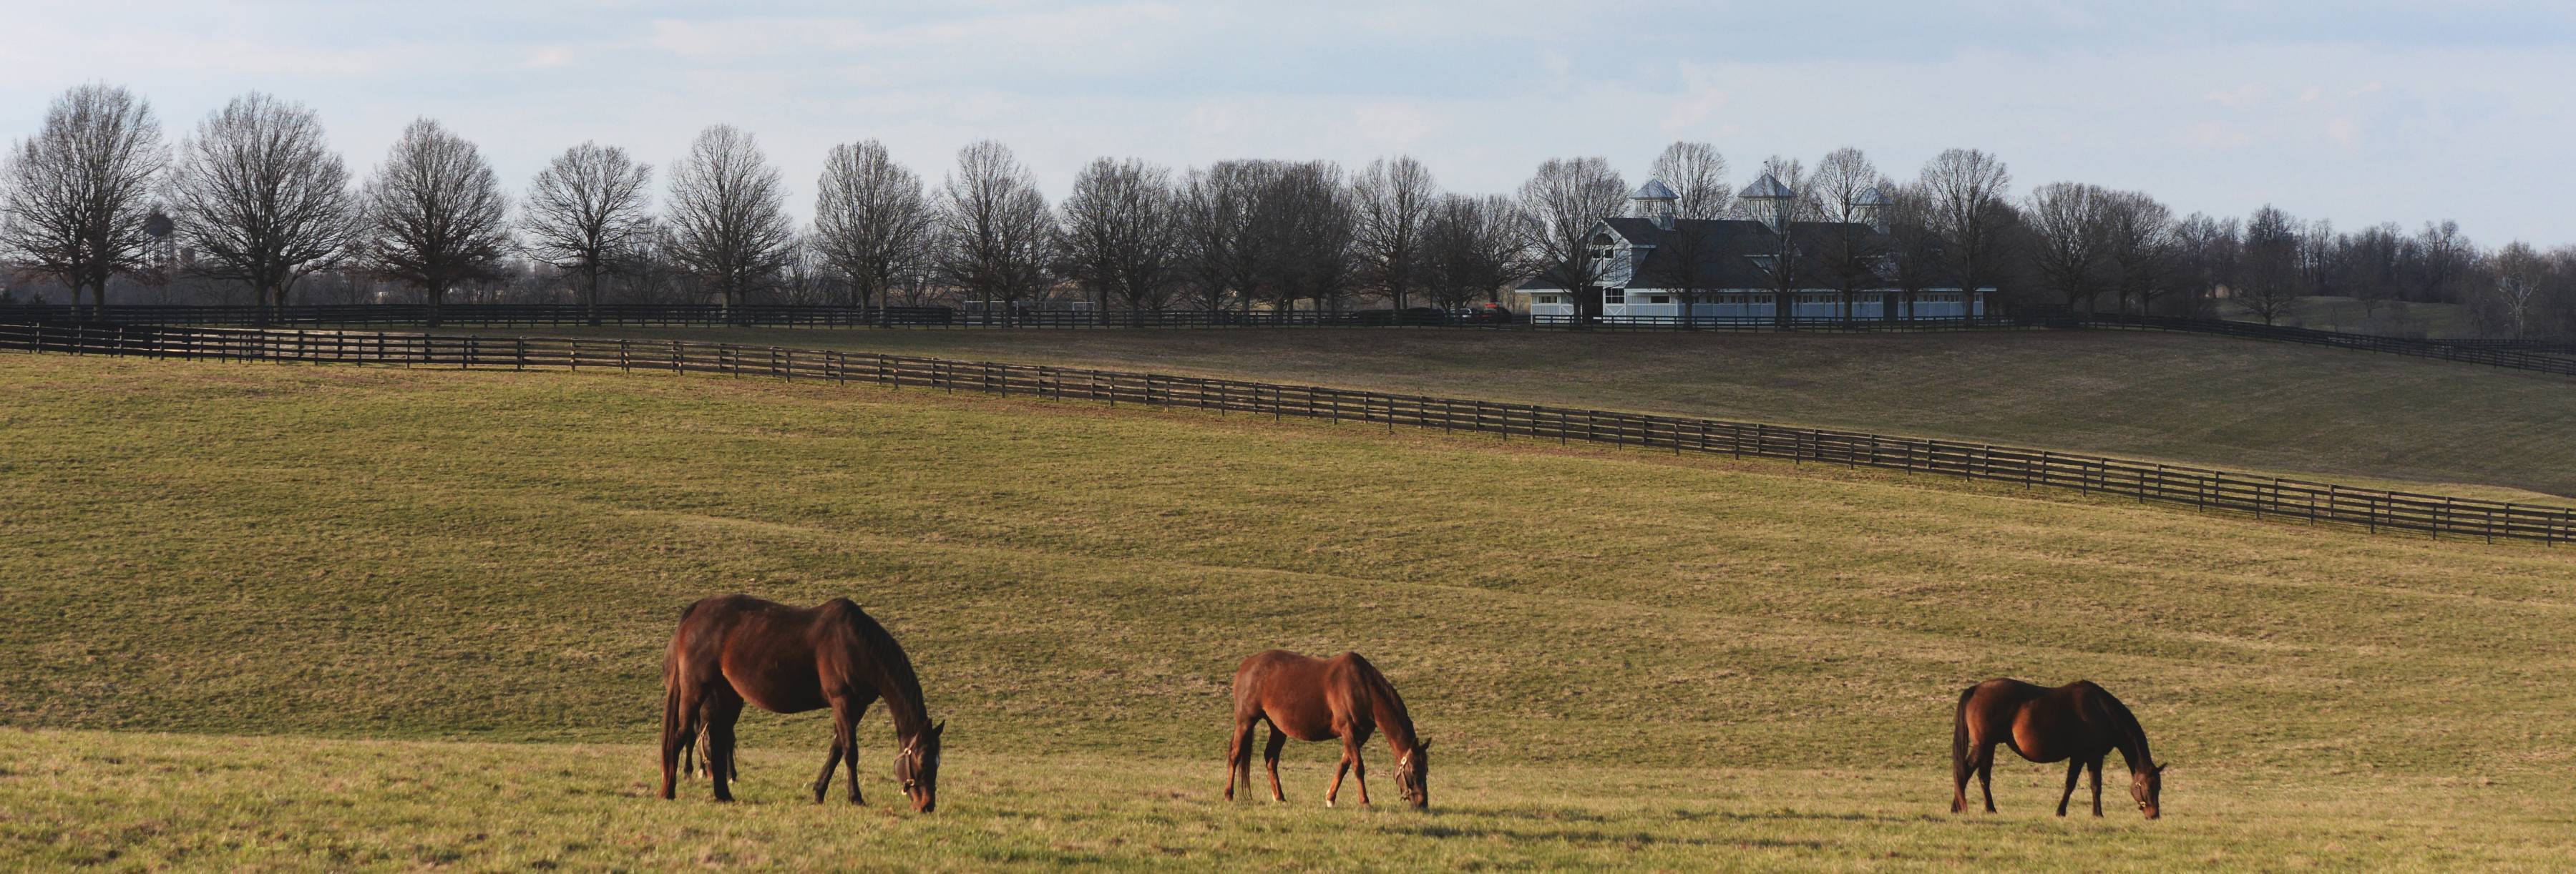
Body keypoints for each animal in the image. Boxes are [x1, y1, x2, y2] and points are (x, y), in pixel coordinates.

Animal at [664, 595, 947, 815]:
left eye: (937, 762)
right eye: (923, 762)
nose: (927, 805)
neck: (857, 644)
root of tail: (696, 610)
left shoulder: (857, 706)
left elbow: (836, 749)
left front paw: (819, 792)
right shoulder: (843, 701)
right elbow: (850, 751)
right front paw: (855, 797)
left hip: (728, 695)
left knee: (718, 740)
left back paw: (723, 793)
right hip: (694, 691)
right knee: (681, 735)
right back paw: (669, 790)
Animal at [1221, 654, 1432, 809]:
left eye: (1427, 769)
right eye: (1414, 770)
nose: (1422, 803)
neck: (1362, 687)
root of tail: (1246, 666)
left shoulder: (1359, 736)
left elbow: (1344, 765)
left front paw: (1330, 798)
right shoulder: (1348, 731)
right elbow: (1358, 766)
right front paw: (1365, 802)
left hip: (1278, 728)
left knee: (1271, 758)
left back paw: (1280, 797)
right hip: (1245, 722)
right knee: (1235, 755)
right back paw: (1228, 795)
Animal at [1947, 680, 2174, 820]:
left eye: (2159, 787)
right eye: (2147, 787)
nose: (2154, 815)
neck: (2101, 710)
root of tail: (1976, 689)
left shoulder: (2080, 756)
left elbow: (2071, 784)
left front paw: (2063, 812)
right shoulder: (2092, 755)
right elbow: (2093, 785)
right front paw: (2096, 814)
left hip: (1989, 747)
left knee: (1983, 777)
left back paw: (1990, 809)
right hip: (1983, 746)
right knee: (1964, 772)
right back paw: (1958, 807)